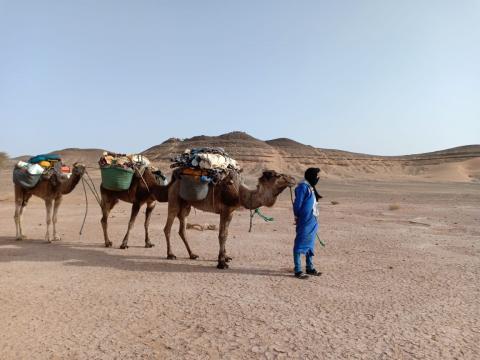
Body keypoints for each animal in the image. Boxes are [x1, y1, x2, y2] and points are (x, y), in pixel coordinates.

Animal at [164, 170, 296, 268]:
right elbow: (222, 235)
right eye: (278, 175)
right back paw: (171, 254)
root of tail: (174, 181)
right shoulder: (225, 210)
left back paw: (193, 254)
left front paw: (226, 257)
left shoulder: (231, 212)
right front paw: (221, 263)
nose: (293, 179)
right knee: (167, 227)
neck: (240, 193)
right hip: (174, 199)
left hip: (186, 205)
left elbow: (226, 233)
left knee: (182, 230)